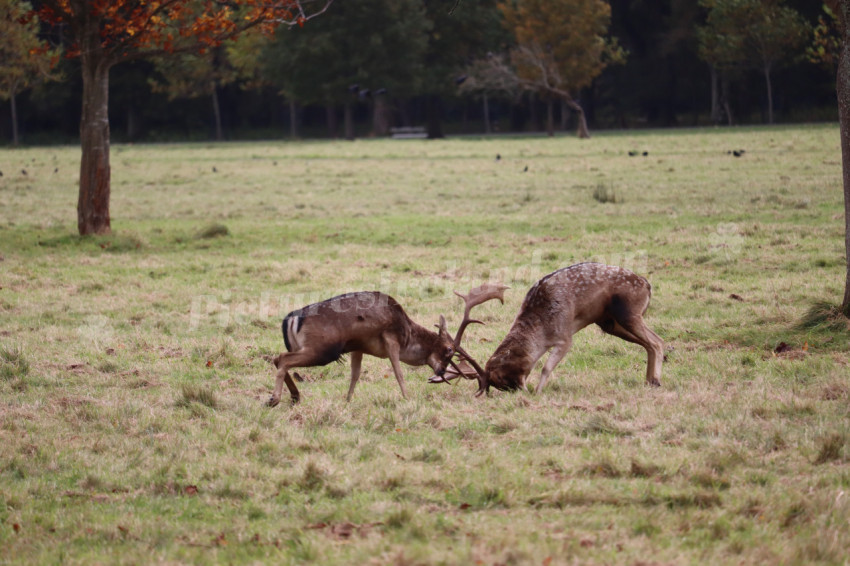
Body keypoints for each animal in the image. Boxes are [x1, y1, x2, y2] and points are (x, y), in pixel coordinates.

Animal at [268, 286, 504, 406]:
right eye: (449, 350)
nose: (440, 372)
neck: (407, 333)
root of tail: (291, 318)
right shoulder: (391, 340)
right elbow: (398, 371)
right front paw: (407, 397)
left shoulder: (358, 347)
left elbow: (355, 375)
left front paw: (347, 400)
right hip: (323, 349)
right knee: (282, 358)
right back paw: (274, 399)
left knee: (278, 358)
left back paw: (295, 397)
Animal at [434, 264, 664, 398]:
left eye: (501, 379)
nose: (522, 393)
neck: (543, 331)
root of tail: (647, 284)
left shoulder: (565, 336)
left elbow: (545, 367)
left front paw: (538, 391)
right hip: (610, 323)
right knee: (649, 344)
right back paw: (649, 381)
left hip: (629, 313)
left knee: (657, 341)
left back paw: (656, 380)